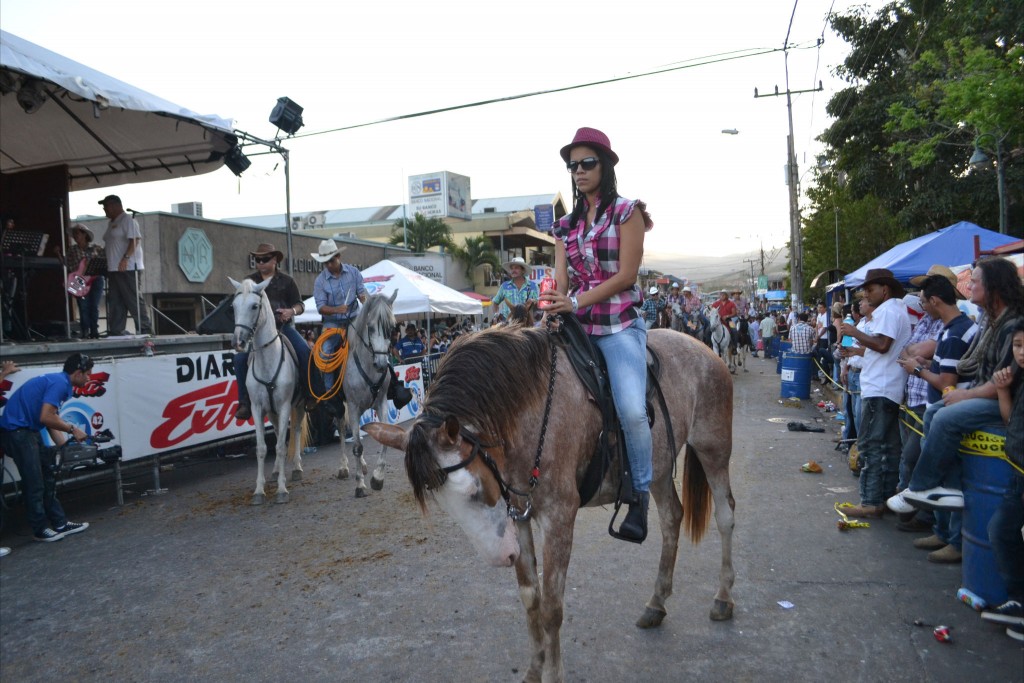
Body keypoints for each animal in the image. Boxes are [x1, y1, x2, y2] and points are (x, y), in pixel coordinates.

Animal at [231, 274, 307, 505]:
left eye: (254, 306)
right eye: (233, 306)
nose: (237, 341)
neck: (268, 361)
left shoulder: (284, 407)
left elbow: (282, 446)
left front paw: (282, 490)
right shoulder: (257, 408)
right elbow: (263, 448)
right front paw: (259, 491)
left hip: (299, 406)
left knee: (296, 430)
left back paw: (297, 468)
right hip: (271, 412)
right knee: (276, 432)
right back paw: (274, 472)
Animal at [368, 323, 737, 679]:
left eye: (475, 490)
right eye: (443, 504)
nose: (502, 556)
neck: (530, 409)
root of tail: (705, 349)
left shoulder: (559, 517)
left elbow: (552, 607)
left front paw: (553, 673)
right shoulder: (518, 516)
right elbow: (531, 598)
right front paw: (534, 670)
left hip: (713, 449)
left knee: (726, 516)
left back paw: (723, 598)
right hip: (657, 467)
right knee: (672, 517)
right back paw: (656, 603)